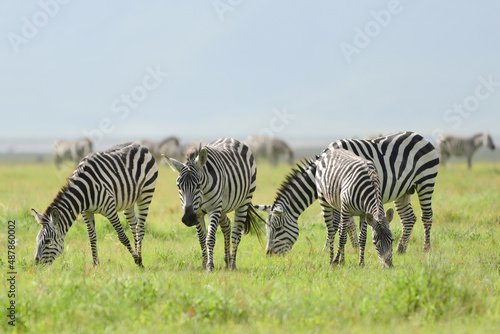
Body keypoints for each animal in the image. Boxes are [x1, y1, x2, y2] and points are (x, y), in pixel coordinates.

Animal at [165, 138, 266, 272]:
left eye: (198, 185)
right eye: (179, 186)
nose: (188, 219)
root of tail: (231, 139)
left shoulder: (213, 209)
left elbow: (210, 238)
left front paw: (209, 266)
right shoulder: (198, 212)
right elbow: (202, 239)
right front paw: (204, 264)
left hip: (243, 201)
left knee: (236, 235)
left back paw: (233, 265)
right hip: (222, 207)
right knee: (227, 226)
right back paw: (227, 261)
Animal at [256, 130, 440, 256]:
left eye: (277, 228)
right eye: (267, 229)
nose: (269, 254)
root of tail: (419, 136)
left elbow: (336, 224)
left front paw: (327, 250)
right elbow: (349, 223)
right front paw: (354, 247)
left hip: (426, 181)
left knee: (426, 216)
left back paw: (426, 249)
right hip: (403, 191)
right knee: (409, 218)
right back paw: (400, 249)